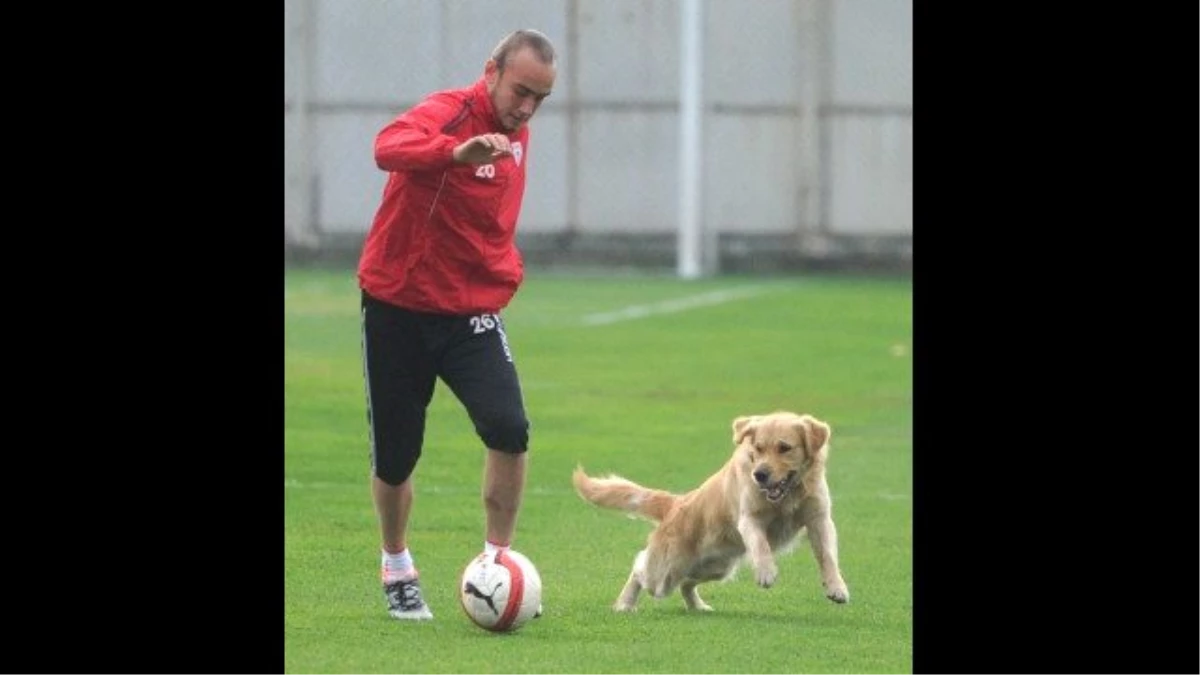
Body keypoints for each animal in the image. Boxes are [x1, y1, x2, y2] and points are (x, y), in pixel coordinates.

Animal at [568, 410, 844, 610]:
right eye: (757, 448)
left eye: (784, 447)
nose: (760, 475)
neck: (789, 495)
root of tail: (676, 502)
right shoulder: (749, 519)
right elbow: (761, 545)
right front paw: (766, 571)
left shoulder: (820, 520)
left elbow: (828, 557)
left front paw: (836, 588)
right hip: (665, 572)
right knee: (639, 568)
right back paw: (625, 605)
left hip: (715, 567)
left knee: (686, 584)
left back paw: (698, 607)